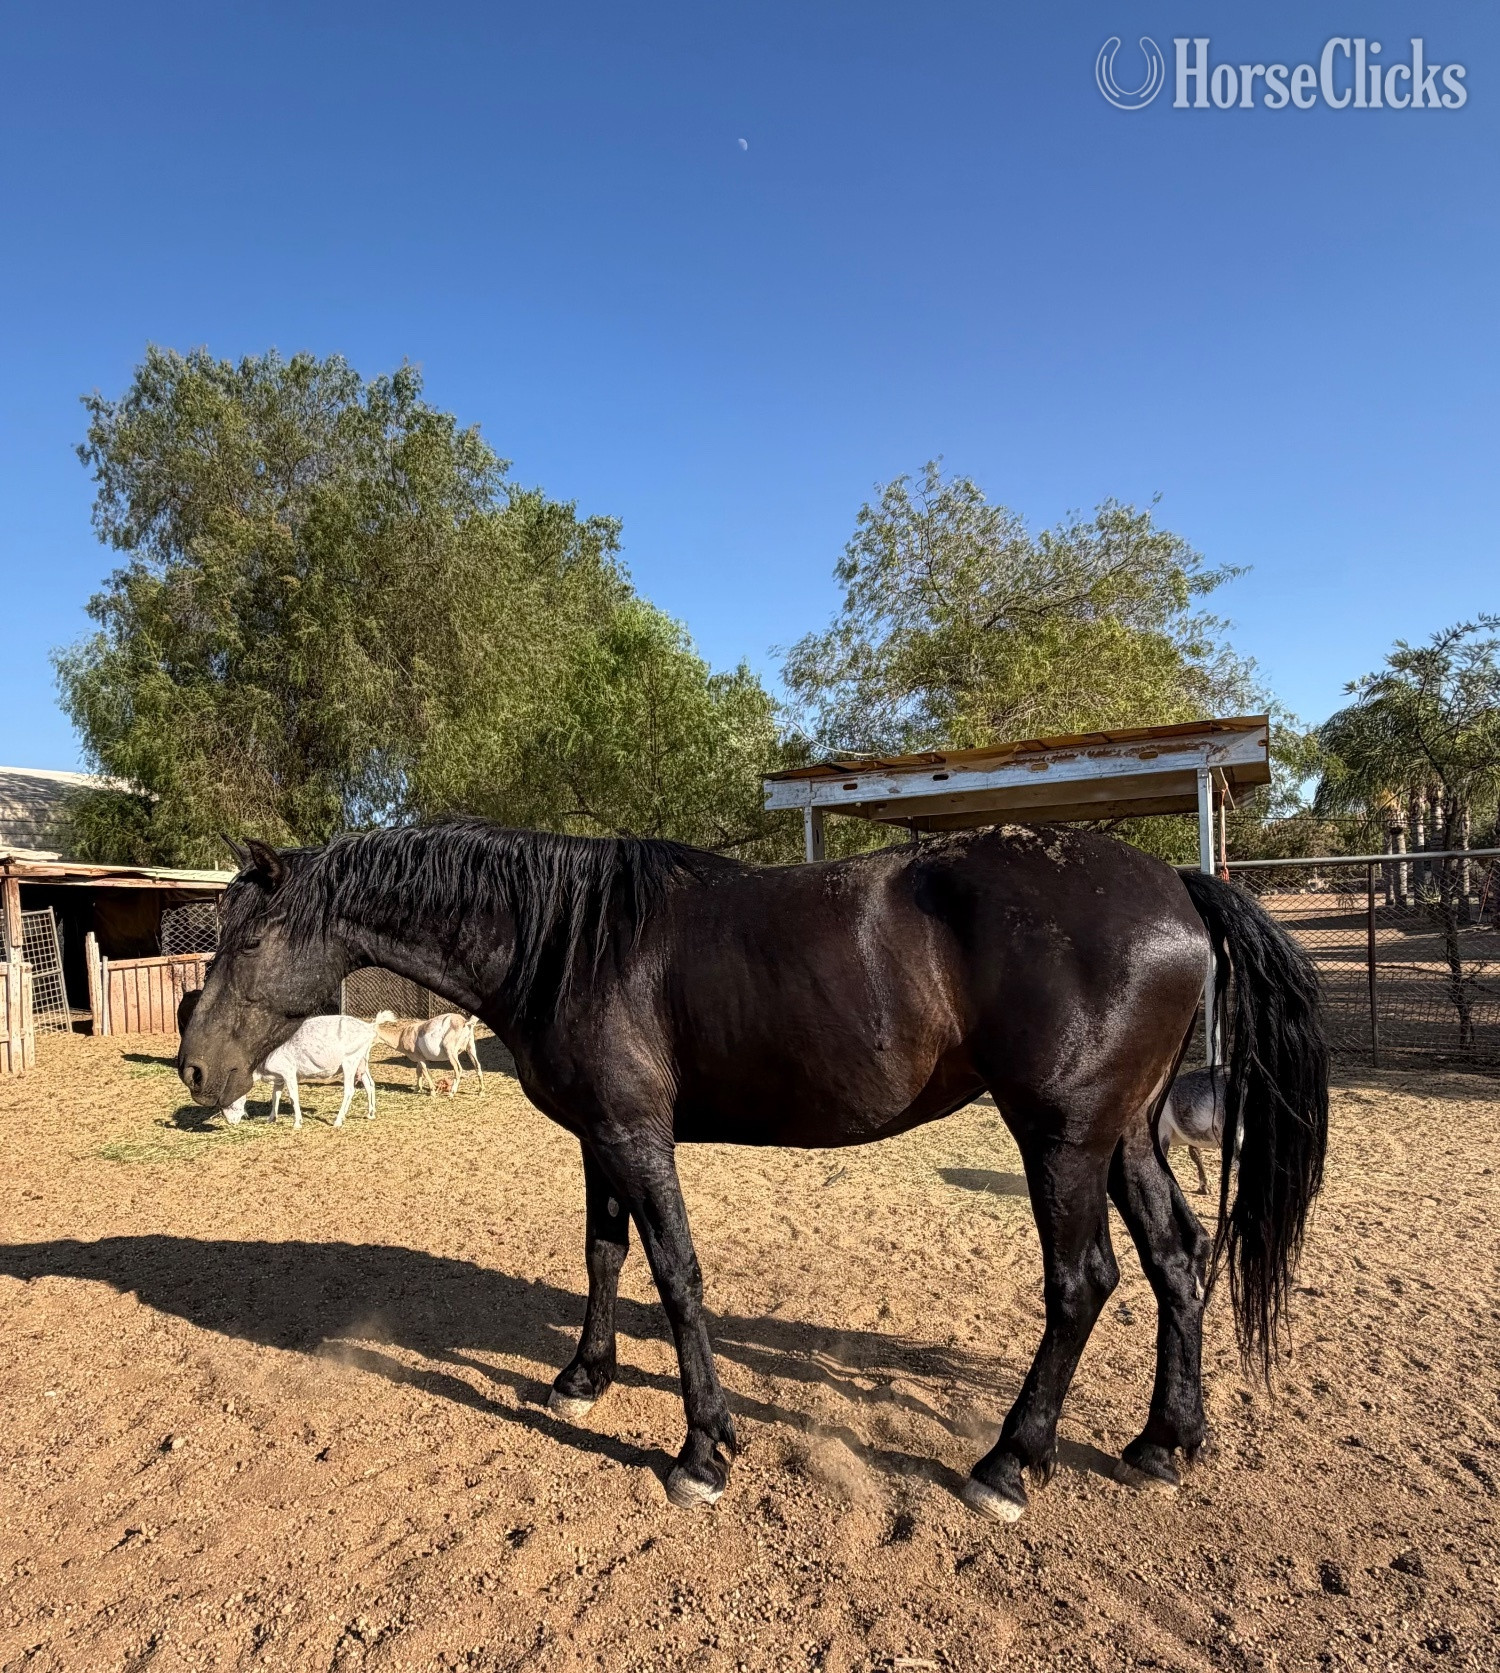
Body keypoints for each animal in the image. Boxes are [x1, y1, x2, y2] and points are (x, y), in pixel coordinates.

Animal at [179, 820, 1327, 1520]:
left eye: (249, 938)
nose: (196, 1065)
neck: (569, 941)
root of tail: (1173, 885)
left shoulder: (638, 1134)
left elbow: (678, 1275)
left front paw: (702, 1449)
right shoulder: (600, 1135)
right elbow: (603, 1253)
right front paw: (584, 1377)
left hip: (1063, 1137)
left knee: (1083, 1283)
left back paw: (1008, 1462)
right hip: (1125, 1134)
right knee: (1180, 1259)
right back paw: (1164, 1441)